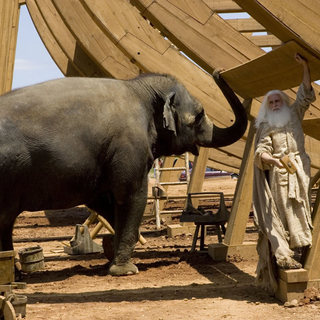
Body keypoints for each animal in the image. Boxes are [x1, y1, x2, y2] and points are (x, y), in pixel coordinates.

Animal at [0, 72, 248, 276]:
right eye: (199, 115)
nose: (217, 72)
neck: (139, 87)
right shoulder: (129, 146)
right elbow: (131, 196)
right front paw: (125, 270)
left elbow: (104, 203)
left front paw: (112, 259)